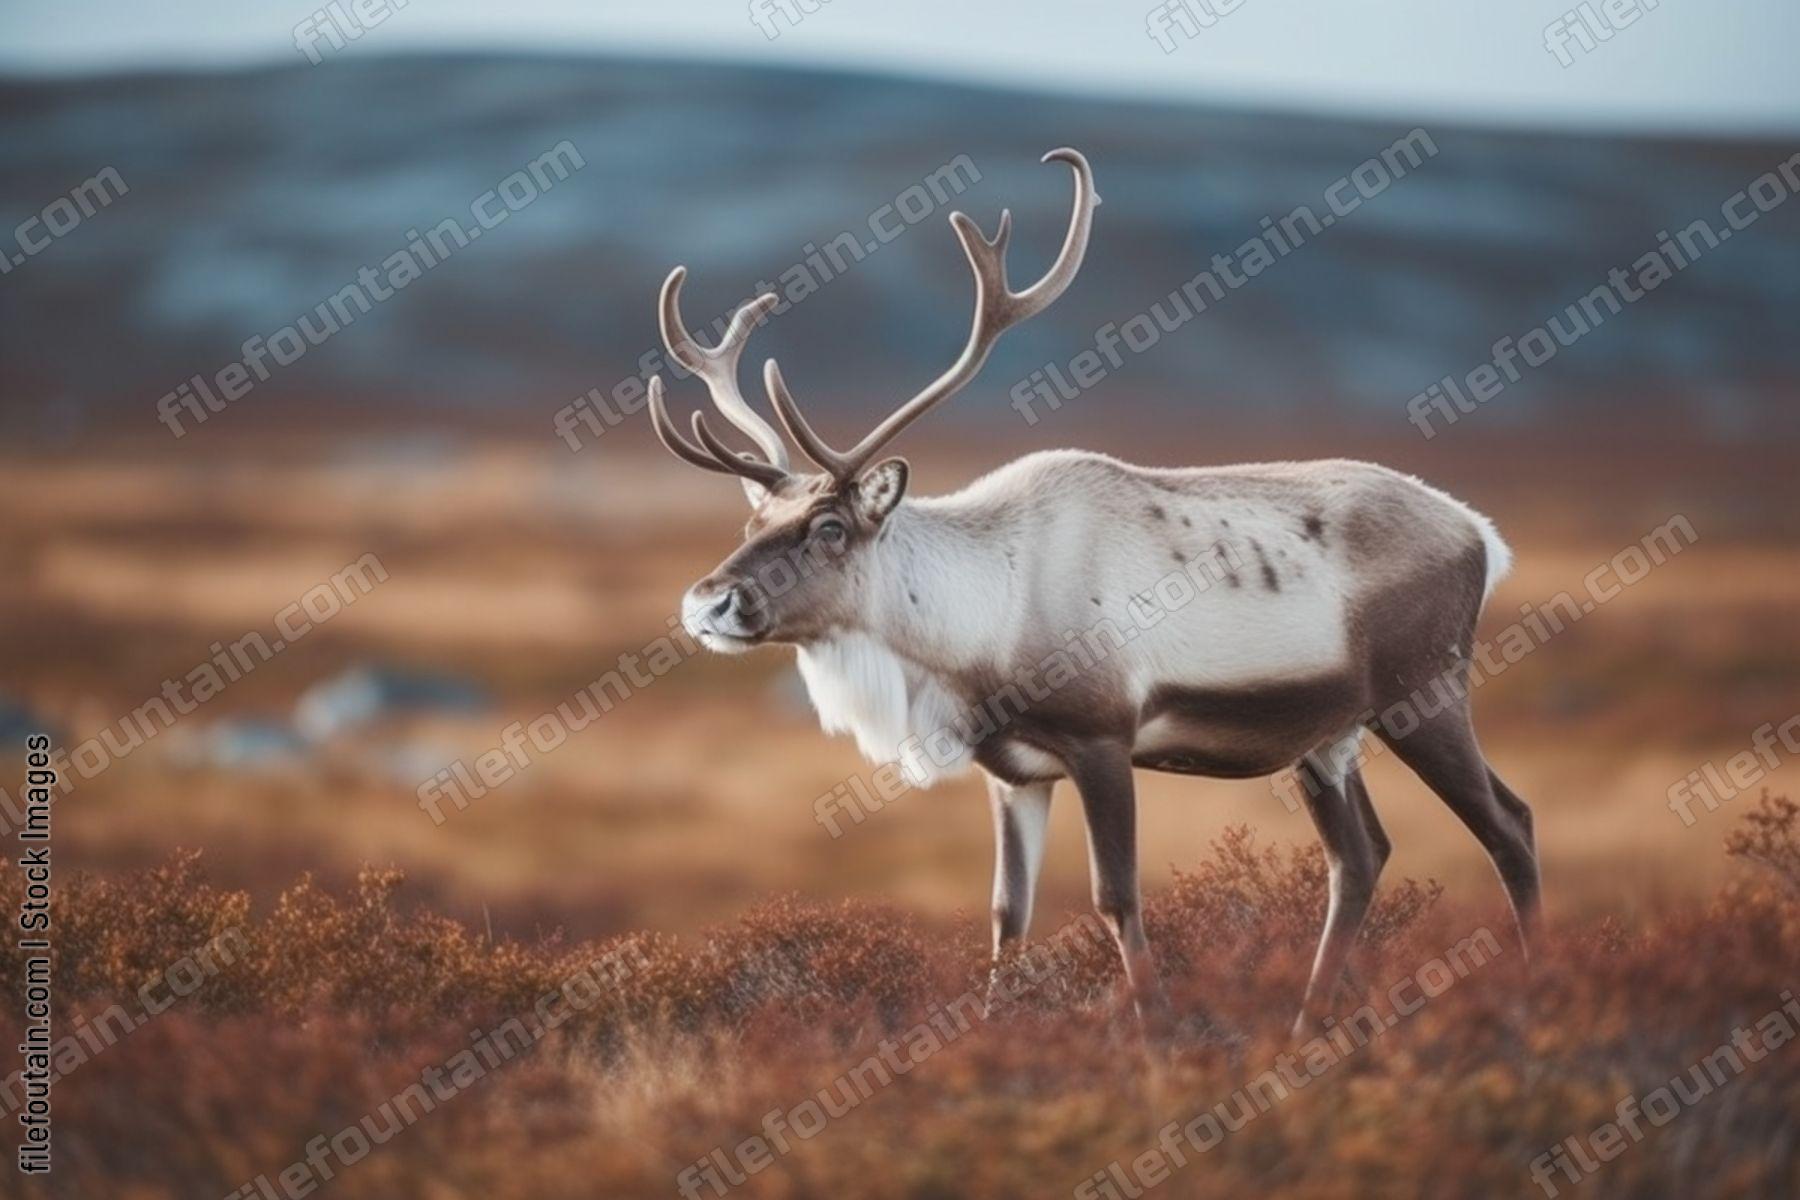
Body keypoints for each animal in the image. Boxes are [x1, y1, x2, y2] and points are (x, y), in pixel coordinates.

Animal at [644, 148, 1540, 1038]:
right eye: (754, 516)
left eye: (830, 526)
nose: (707, 602)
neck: (980, 624)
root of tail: (1482, 536)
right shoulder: (1013, 773)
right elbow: (1007, 914)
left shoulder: (1102, 740)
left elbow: (1116, 899)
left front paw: (1158, 1039)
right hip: (1325, 736)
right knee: (1359, 856)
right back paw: (1304, 1026)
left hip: (1424, 694)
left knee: (1509, 825)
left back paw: (1531, 997)